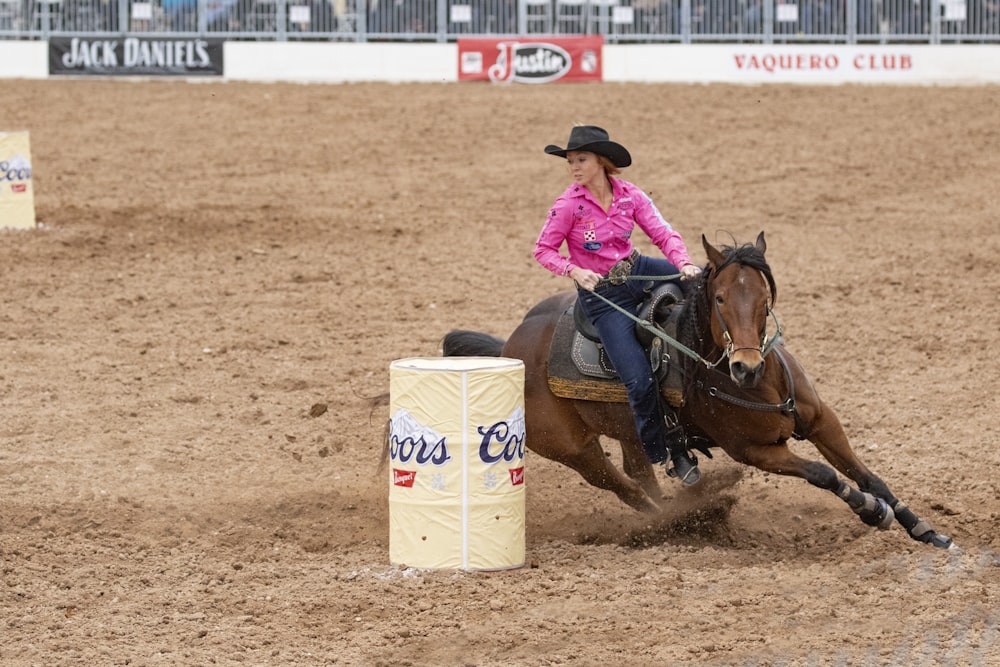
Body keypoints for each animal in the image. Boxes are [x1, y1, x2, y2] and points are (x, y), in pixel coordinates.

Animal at [444, 232, 952, 552]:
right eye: (721, 298)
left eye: (764, 298)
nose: (745, 366)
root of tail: (510, 346)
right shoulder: (755, 451)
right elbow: (826, 475)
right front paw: (871, 512)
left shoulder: (822, 419)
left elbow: (869, 475)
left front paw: (926, 531)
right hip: (574, 449)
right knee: (626, 487)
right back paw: (674, 524)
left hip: (631, 431)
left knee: (639, 472)